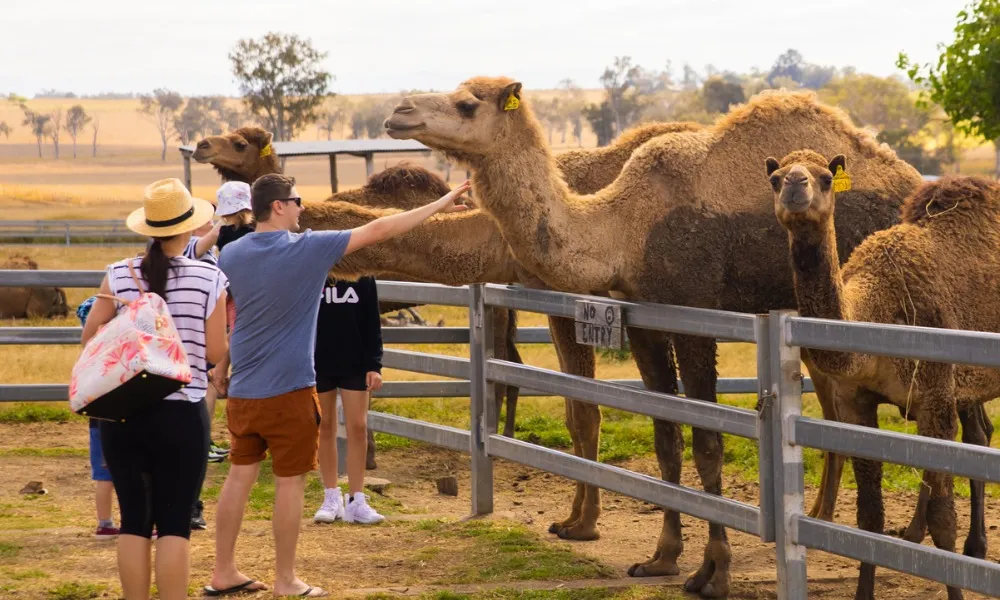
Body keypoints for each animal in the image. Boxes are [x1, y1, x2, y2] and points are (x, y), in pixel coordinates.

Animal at [383, 78, 923, 597]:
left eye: (467, 103)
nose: (398, 113)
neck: (626, 231)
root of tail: (914, 183)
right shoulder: (642, 320)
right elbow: (666, 437)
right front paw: (663, 556)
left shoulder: (695, 317)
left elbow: (707, 442)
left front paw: (714, 573)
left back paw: (913, 534)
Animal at [769, 153, 1000, 600]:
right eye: (774, 178)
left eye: (826, 178)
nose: (795, 185)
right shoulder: (856, 404)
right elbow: (869, 519)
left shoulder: (934, 395)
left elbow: (945, 520)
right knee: (979, 435)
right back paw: (957, 543)